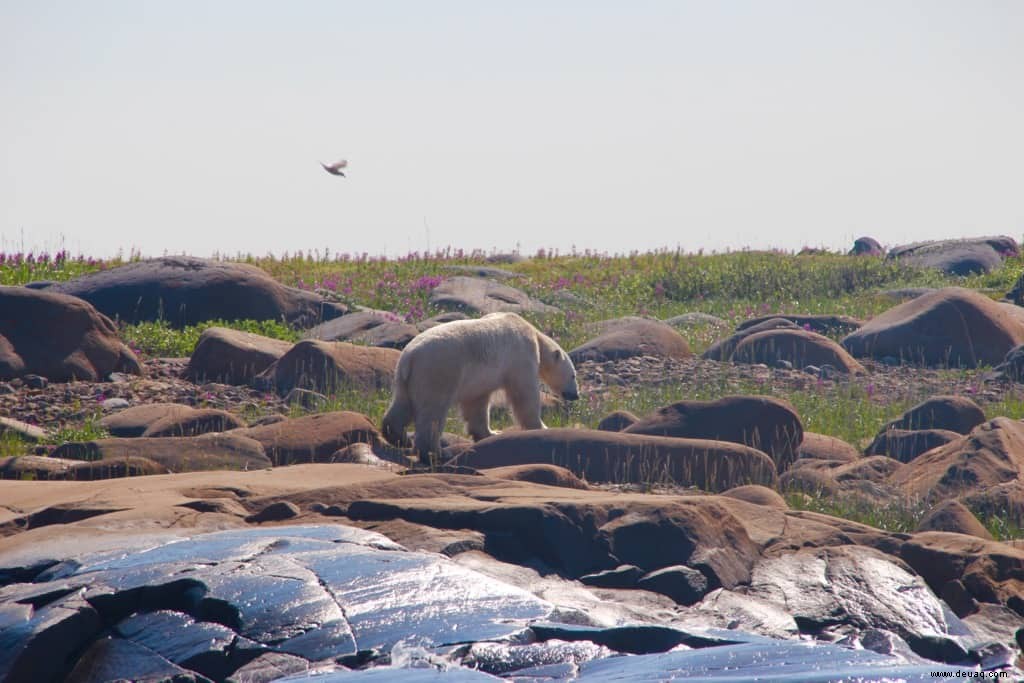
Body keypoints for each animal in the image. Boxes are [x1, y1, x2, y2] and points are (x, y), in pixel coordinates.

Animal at [380, 313, 581, 462]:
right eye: (573, 375)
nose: (575, 395)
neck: (533, 334)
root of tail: (409, 356)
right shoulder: (521, 355)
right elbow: (524, 394)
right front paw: (541, 427)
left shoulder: (478, 379)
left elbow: (477, 402)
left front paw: (491, 432)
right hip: (439, 370)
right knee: (433, 410)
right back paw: (437, 452)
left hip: (406, 378)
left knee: (402, 404)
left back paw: (398, 437)